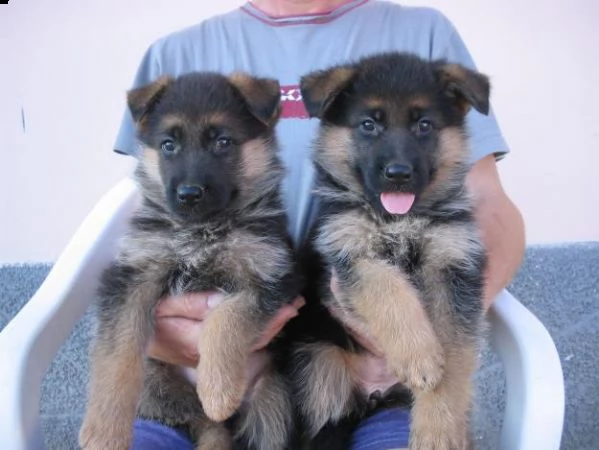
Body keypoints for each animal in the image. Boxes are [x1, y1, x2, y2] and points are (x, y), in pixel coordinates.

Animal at [81, 71, 300, 450]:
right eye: (169, 145)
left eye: (223, 142)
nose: (189, 194)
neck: (201, 230)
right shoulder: (132, 275)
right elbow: (117, 354)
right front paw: (104, 432)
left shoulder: (272, 278)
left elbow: (225, 319)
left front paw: (218, 391)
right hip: (157, 385)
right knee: (207, 425)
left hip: (274, 403)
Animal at [290, 52, 492, 450]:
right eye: (369, 125)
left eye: (424, 125)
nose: (398, 174)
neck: (398, 220)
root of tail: (373, 395)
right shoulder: (352, 255)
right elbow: (389, 290)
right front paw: (418, 355)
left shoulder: (454, 268)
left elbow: (454, 358)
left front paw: (438, 428)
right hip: (322, 378)